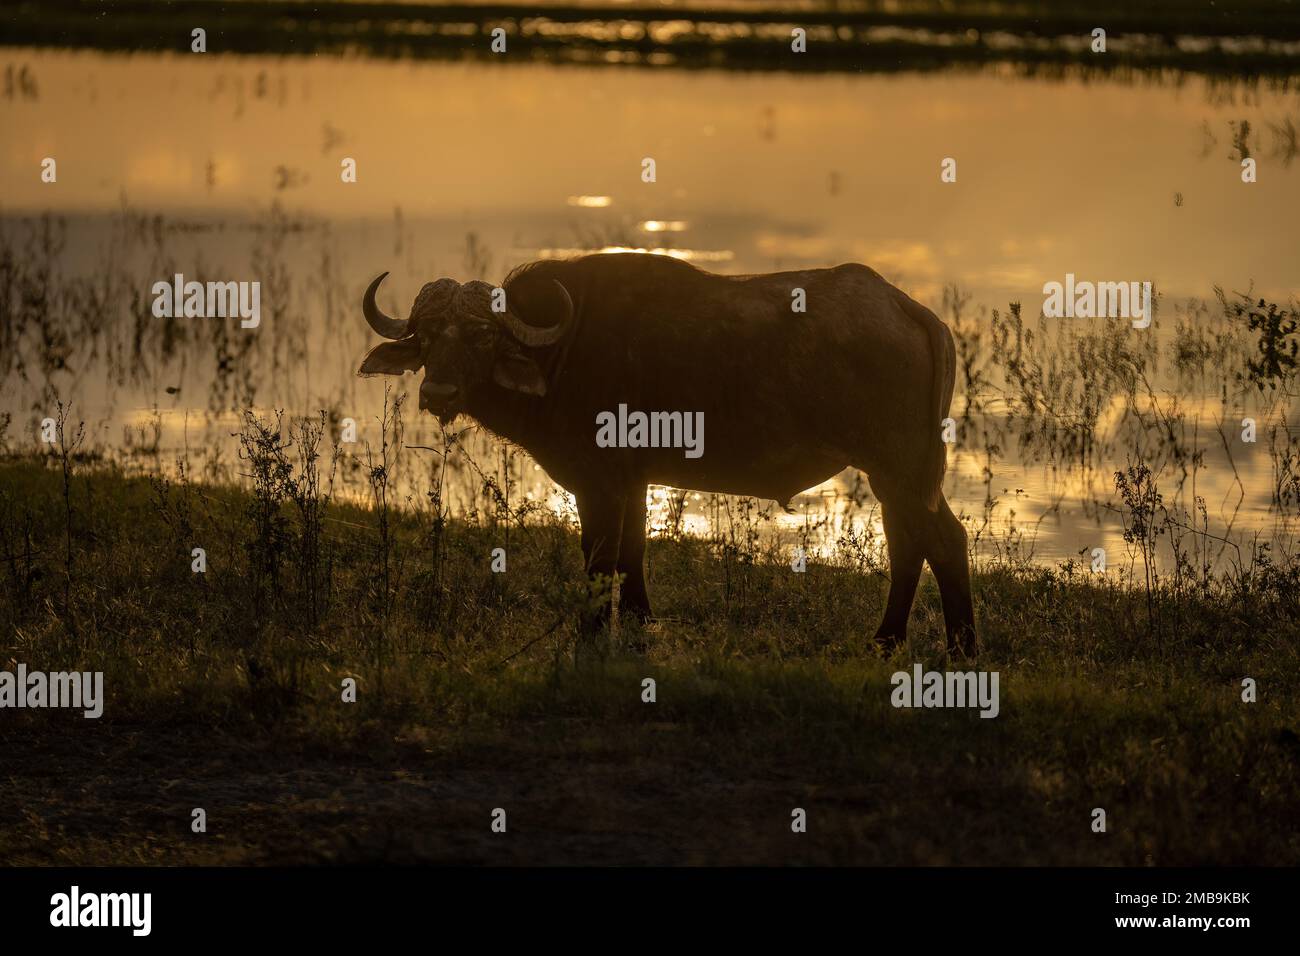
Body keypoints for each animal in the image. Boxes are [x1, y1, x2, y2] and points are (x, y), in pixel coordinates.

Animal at [357, 253, 975, 654]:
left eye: (482, 335)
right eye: (428, 335)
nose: (438, 393)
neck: (566, 348)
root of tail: (910, 310)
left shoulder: (599, 481)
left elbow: (599, 557)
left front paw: (591, 635)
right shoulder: (633, 481)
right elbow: (632, 554)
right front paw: (638, 625)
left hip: (899, 466)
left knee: (942, 541)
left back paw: (962, 649)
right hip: (896, 474)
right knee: (910, 544)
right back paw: (887, 640)